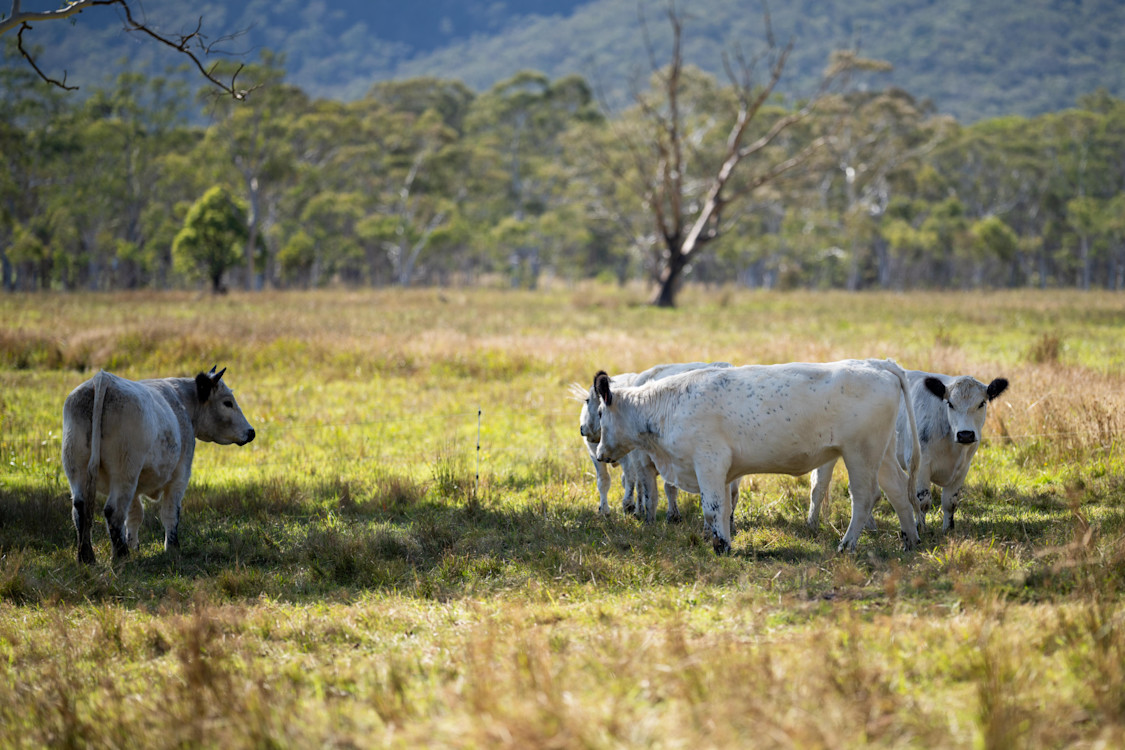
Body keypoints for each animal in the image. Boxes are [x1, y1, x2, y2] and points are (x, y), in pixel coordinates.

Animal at [61, 367, 255, 564]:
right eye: (227, 403)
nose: (251, 432)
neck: (181, 401)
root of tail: (102, 378)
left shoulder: (136, 487)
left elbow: (135, 515)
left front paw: (134, 546)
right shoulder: (180, 475)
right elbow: (171, 513)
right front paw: (172, 547)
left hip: (79, 470)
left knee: (80, 509)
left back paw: (86, 557)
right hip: (125, 473)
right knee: (113, 511)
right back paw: (121, 556)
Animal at [592, 359, 922, 554]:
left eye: (600, 413)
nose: (599, 453)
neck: (668, 405)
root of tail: (877, 364)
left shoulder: (708, 463)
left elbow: (712, 509)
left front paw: (720, 546)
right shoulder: (723, 472)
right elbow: (724, 509)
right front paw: (725, 541)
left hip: (860, 453)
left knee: (865, 497)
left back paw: (847, 544)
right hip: (882, 454)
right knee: (898, 491)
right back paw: (910, 540)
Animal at [807, 370, 1008, 534]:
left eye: (982, 403)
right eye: (950, 403)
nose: (965, 434)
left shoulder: (963, 468)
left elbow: (950, 502)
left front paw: (948, 530)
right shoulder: (921, 465)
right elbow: (923, 501)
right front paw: (921, 528)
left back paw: (870, 526)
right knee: (819, 485)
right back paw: (812, 524)